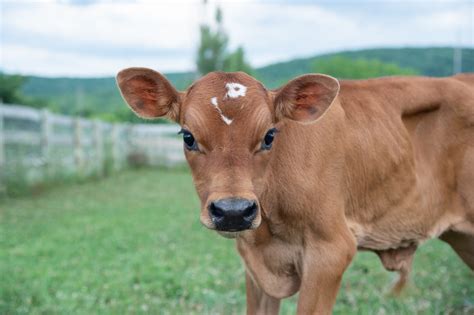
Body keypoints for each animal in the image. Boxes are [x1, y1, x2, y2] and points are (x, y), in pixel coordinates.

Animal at [117, 68, 474, 314]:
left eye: (269, 135)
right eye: (188, 136)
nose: (233, 211)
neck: (269, 232)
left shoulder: (331, 250)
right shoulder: (255, 264)